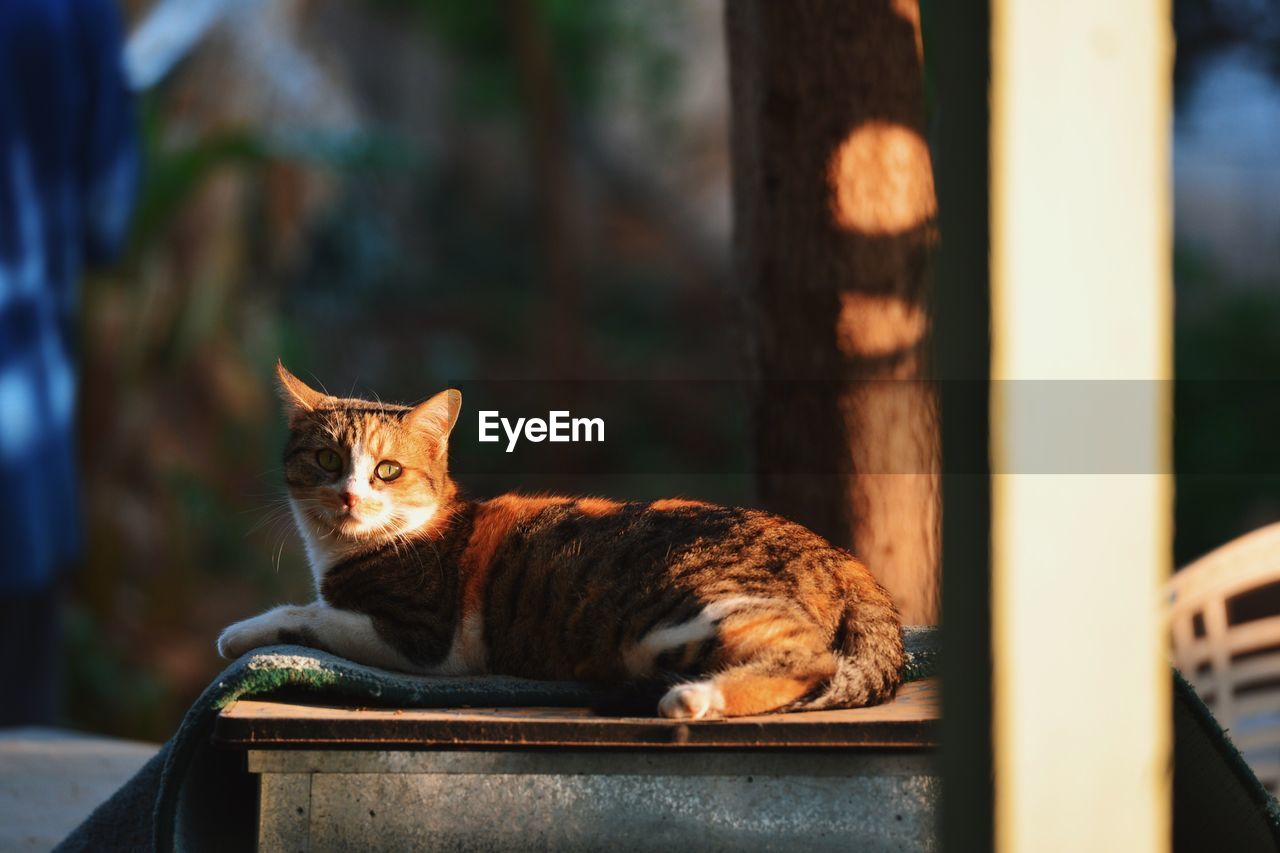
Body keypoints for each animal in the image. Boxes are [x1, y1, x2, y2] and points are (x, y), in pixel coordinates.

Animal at [215, 361, 906, 717]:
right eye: (328, 461)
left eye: (387, 470)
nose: (350, 497)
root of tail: (843, 557)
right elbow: (316, 608)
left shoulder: (427, 641)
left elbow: (312, 614)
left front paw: (241, 632)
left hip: (688, 604)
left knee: (810, 659)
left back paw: (695, 698)